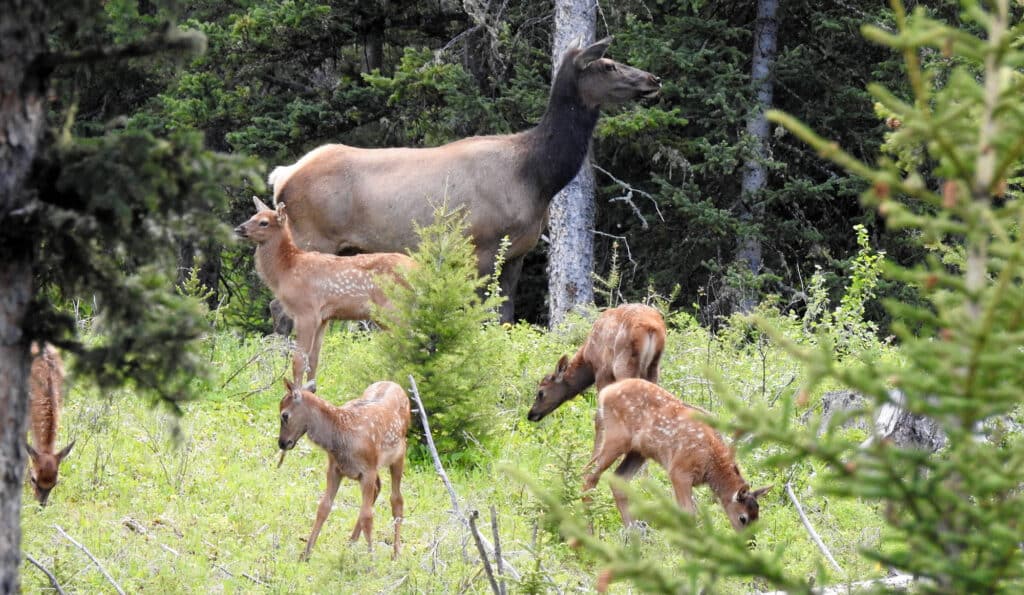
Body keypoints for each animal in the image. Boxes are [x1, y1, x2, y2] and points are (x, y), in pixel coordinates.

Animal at [236, 197, 415, 390]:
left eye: (264, 222)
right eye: (253, 216)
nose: (239, 229)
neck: (286, 270)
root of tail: (418, 267)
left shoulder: (306, 311)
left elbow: (299, 360)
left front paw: (296, 392)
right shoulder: (323, 318)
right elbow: (314, 360)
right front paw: (312, 391)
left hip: (393, 309)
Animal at [268, 37, 660, 323]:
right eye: (608, 65)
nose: (653, 79)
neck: (537, 177)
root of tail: (281, 176)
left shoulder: (517, 251)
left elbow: (505, 315)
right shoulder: (480, 245)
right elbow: (481, 314)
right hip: (311, 237)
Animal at [277, 378, 411, 561]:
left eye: (284, 415)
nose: (282, 443)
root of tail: (395, 384)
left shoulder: (368, 470)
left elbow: (367, 516)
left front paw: (372, 560)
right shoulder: (334, 468)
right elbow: (324, 507)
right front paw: (305, 554)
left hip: (399, 454)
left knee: (396, 500)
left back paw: (396, 553)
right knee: (377, 490)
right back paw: (351, 542)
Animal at [527, 303, 666, 422]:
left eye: (541, 392)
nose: (531, 414)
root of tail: (650, 328)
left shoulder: (602, 370)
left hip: (624, 364)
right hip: (654, 366)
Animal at [583, 378, 771, 530]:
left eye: (757, 516)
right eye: (743, 518)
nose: (750, 543)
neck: (710, 465)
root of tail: (606, 392)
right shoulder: (679, 471)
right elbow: (688, 514)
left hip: (638, 451)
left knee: (618, 479)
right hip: (616, 437)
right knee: (589, 474)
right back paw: (588, 533)